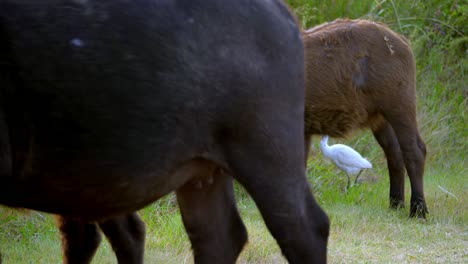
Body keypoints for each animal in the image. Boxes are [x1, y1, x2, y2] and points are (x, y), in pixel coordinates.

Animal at [304, 19, 428, 219]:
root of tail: (399, 40)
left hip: (400, 107)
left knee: (414, 150)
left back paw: (418, 209)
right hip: (381, 119)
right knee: (394, 153)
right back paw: (395, 203)